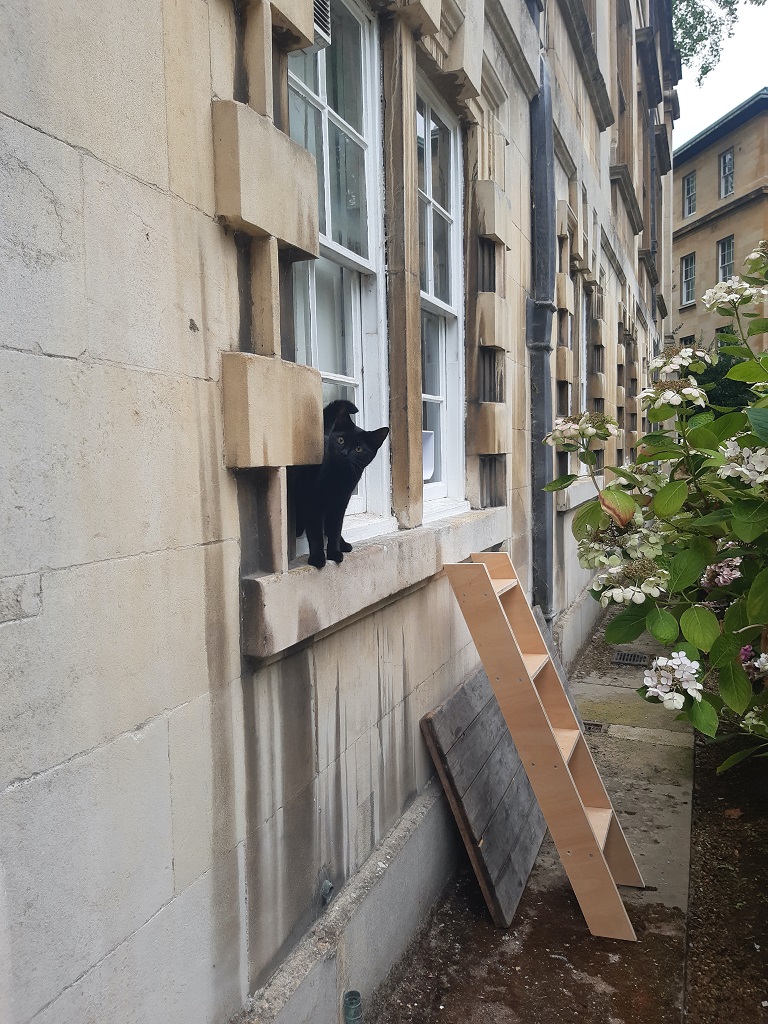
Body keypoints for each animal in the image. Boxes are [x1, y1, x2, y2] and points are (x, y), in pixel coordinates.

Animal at [296, 397, 391, 569]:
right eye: (341, 440)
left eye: (359, 449)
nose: (344, 453)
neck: (340, 478)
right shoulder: (313, 504)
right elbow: (315, 532)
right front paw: (318, 558)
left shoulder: (340, 504)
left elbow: (334, 528)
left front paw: (334, 552)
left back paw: (343, 544)